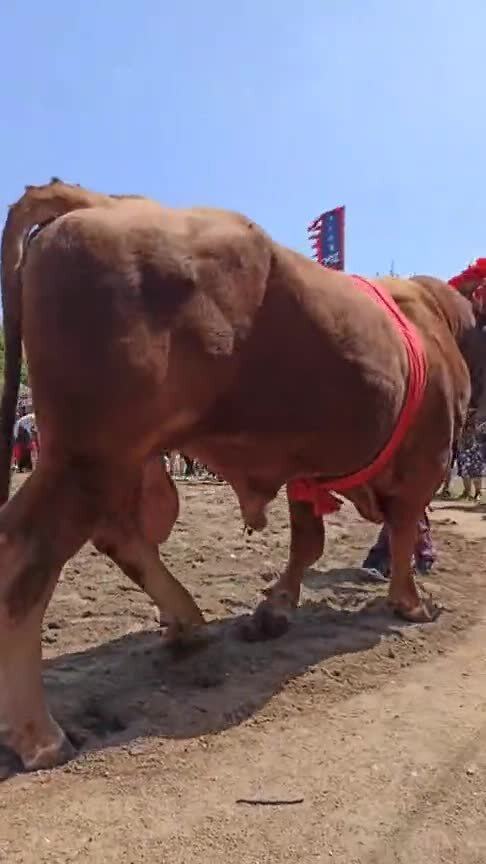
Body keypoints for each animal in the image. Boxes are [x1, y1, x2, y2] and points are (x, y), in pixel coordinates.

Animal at [0, 179, 482, 772]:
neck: (438, 324)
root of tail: (99, 202)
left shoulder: (306, 467)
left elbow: (310, 542)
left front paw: (273, 610)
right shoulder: (425, 463)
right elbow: (404, 531)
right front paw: (411, 603)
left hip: (116, 461)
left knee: (118, 536)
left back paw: (187, 624)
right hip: (87, 458)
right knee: (29, 554)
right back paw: (38, 734)